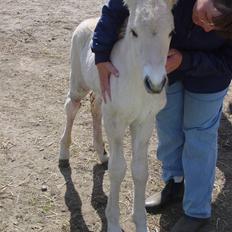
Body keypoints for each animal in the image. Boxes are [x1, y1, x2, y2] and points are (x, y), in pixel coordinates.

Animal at [59, 0, 174, 232]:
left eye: (170, 32)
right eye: (134, 31)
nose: (155, 84)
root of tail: (87, 22)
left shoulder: (145, 121)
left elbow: (140, 170)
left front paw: (140, 223)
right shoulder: (115, 120)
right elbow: (118, 169)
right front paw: (112, 222)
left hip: (101, 92)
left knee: (95, 106)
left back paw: (102, 153)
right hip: (78, 82)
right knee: (72, 107)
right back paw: (64, 153)